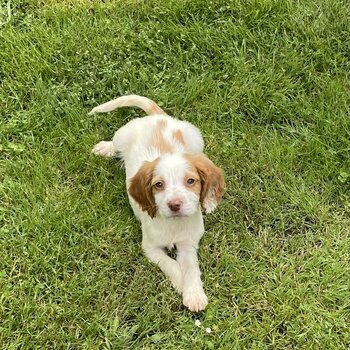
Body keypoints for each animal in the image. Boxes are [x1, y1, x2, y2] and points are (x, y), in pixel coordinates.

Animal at [89, 94, 223, 310]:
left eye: (191, 181)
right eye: (158, 185)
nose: (175, 204)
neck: (174, 224)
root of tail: (159, 118)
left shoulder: (188, 244)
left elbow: (191, 268)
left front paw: (194, 294)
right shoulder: (150, 248)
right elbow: (170, 264)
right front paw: (181, 283)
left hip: (195, 138)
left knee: (202, 157)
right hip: (123, 133)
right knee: (115, 144)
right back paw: (105, 148)